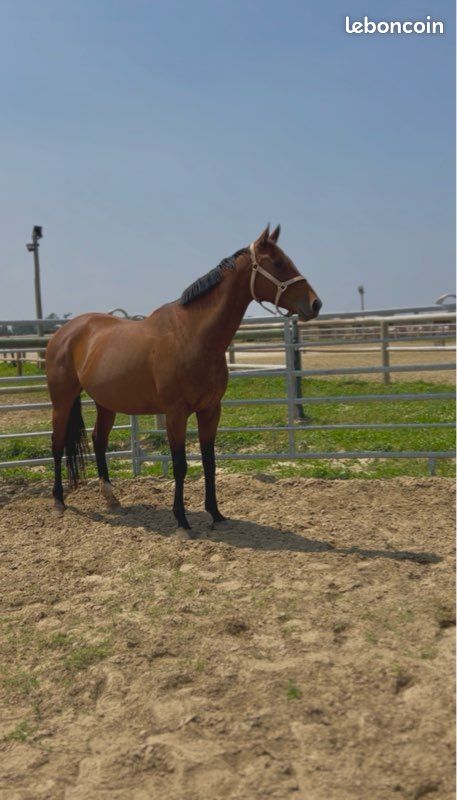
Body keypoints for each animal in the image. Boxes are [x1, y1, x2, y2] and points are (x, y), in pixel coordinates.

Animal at [45, 225, 322, 538]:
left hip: (106, 403)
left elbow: (209, 463)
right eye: (277, 263)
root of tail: (65, 331)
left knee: (98, 440)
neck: (192, 335)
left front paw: (216, 514)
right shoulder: (176, 413)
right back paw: (59, 501)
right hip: (62, 400)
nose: (315, 303)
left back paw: (111, 497)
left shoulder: (211, 410)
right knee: (57, 443)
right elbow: (180, 466)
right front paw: (182, 521)